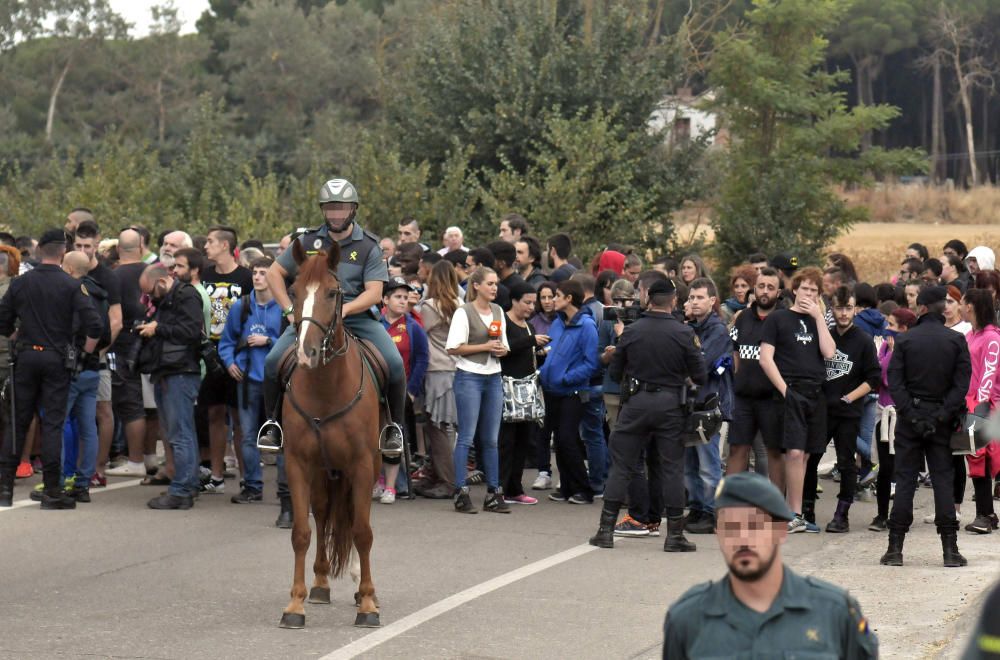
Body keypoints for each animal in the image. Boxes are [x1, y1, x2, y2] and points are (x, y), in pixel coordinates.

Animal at [278, 238, 382, 628]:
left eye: (333, 293)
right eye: (294, 291)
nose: (306, 353)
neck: (326, 387)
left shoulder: (363, 465)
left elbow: (363, 532)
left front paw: (367, 603)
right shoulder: (297, 463)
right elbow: (302, 532)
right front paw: (295, 604)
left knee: (353, 518)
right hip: (324, 471)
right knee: (323, 516)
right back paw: (321, 583)